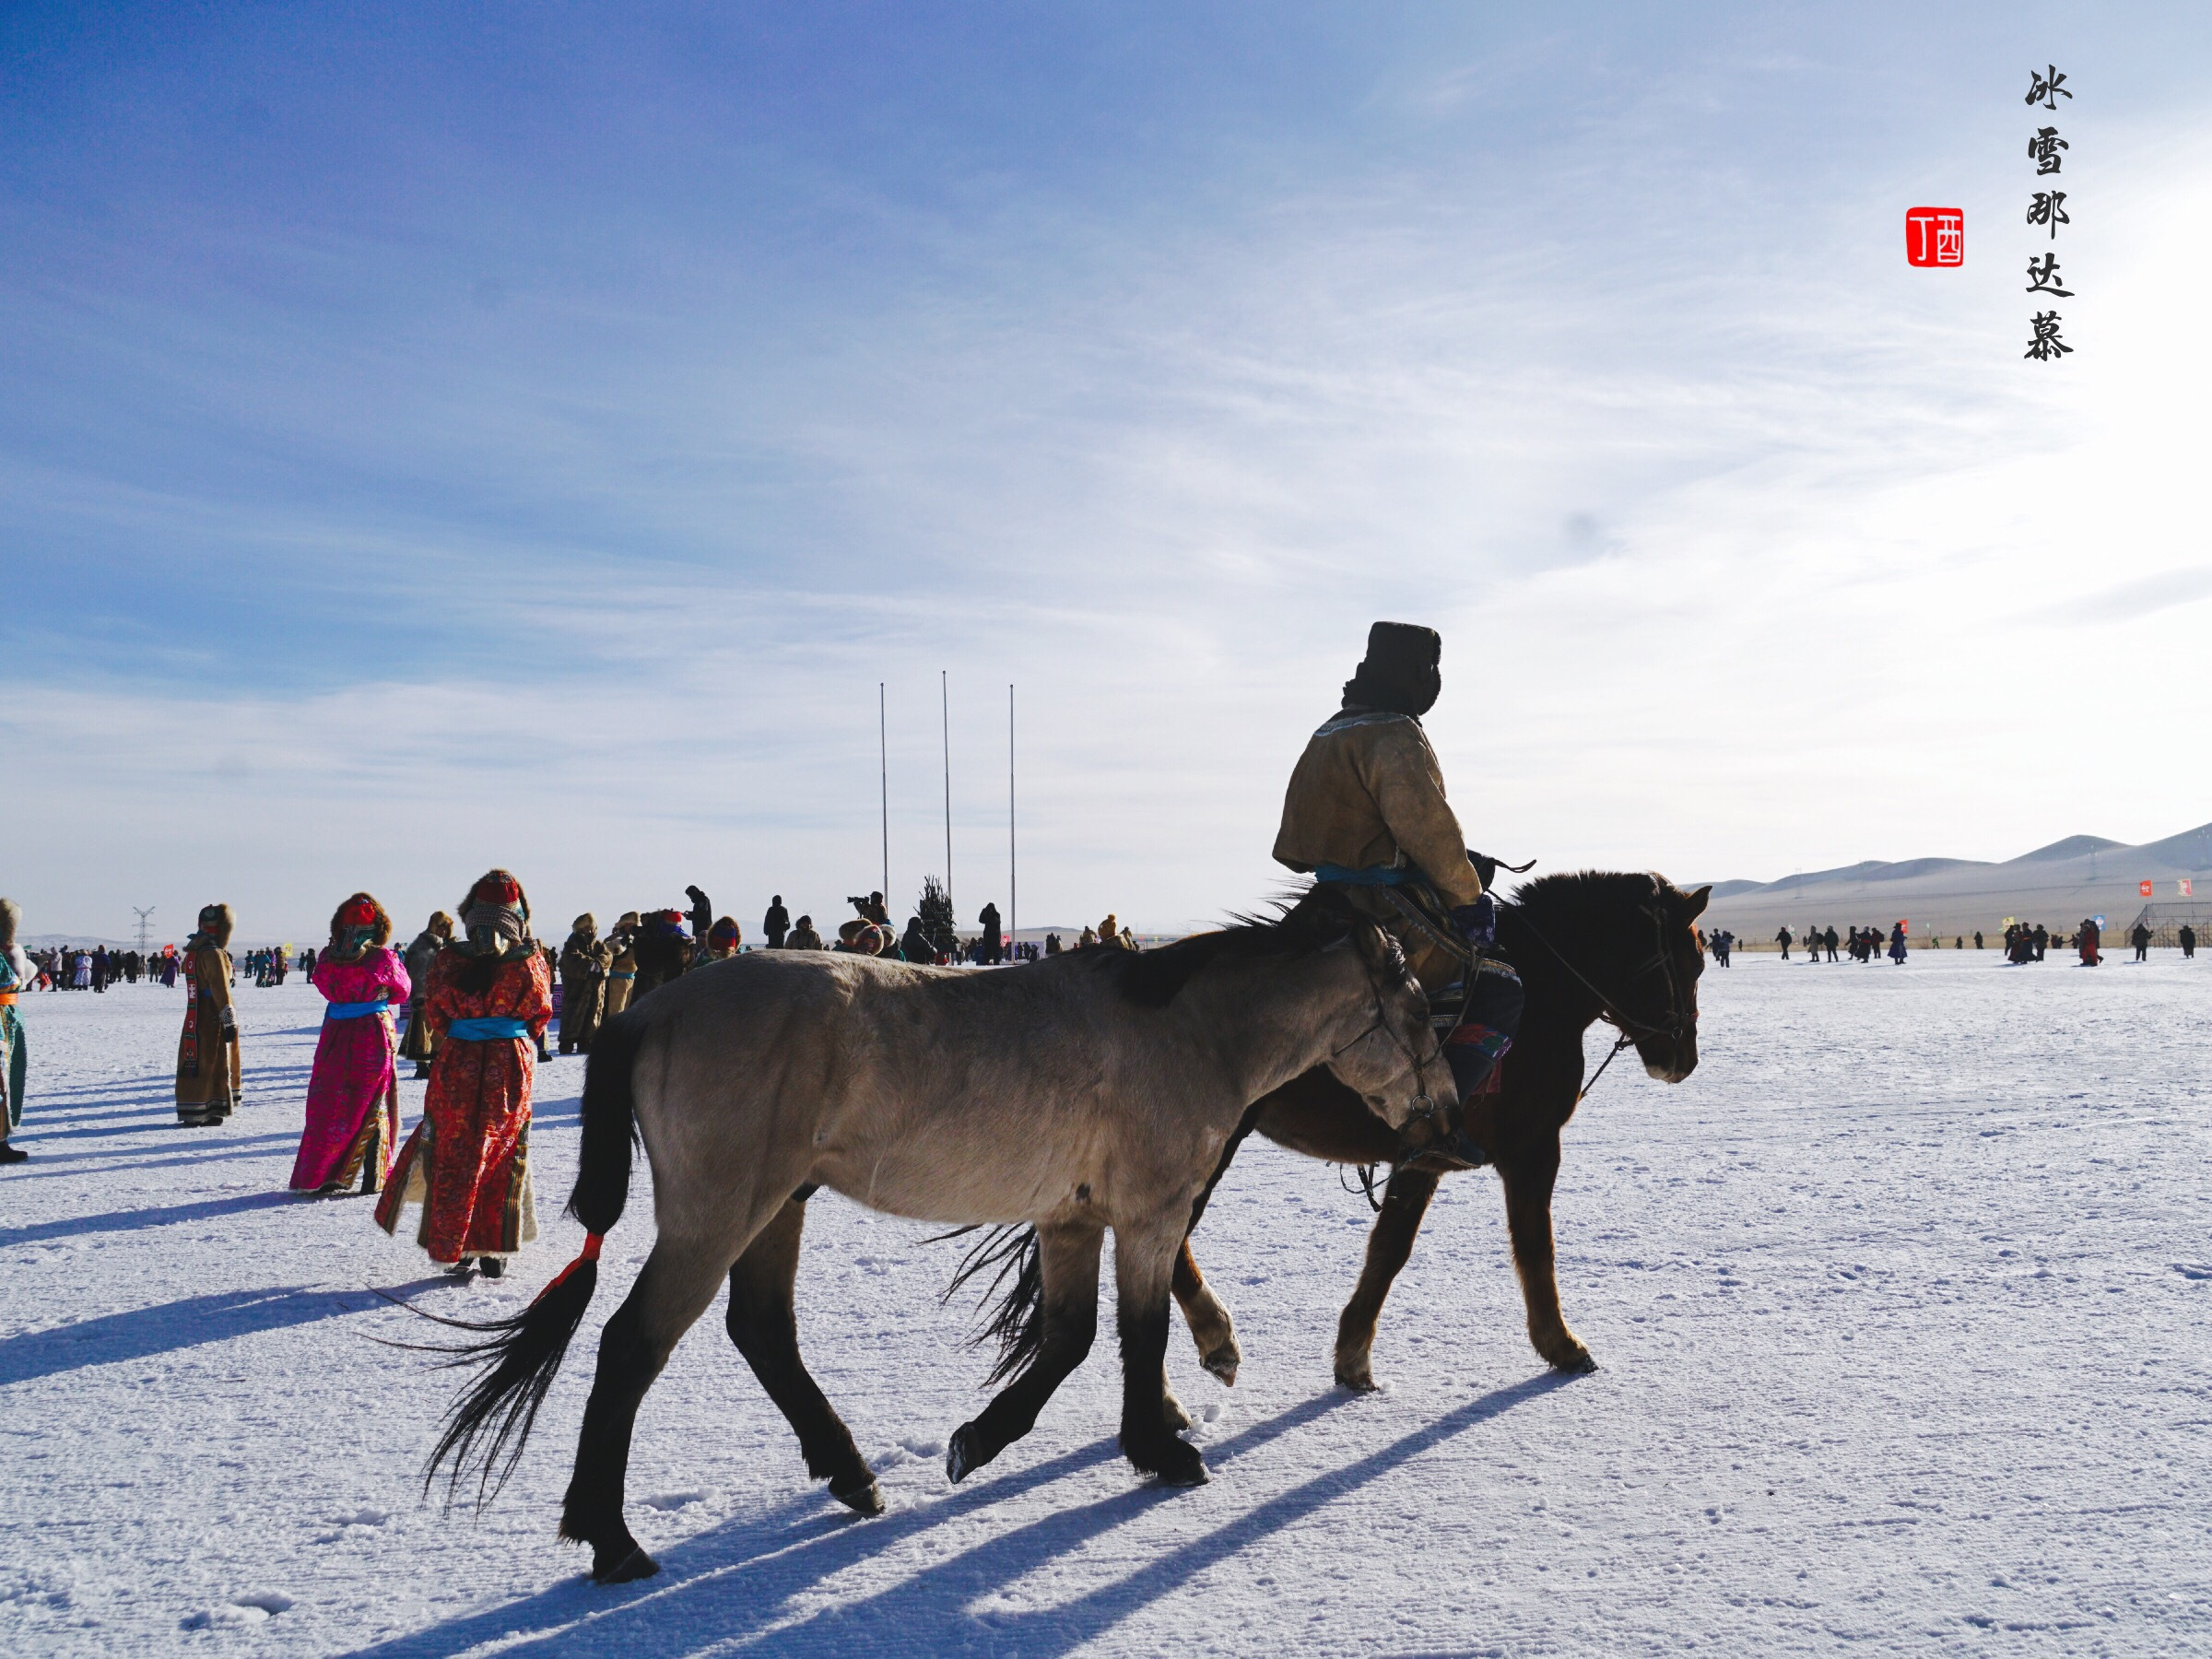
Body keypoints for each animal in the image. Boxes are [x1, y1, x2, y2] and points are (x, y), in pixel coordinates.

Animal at [422, 888, 1441, 1593]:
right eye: (1420, 1006)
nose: (1447, 1106)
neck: (1186, 1029)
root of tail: (650, 1009)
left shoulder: (1072, 1218)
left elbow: (1071, 1339)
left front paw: (981, 1441)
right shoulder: (1149, 1216)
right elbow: (1138, 1336)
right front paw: (1160, 1451)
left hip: (775, 1207)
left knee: (762, 1332)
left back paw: (851, 1476)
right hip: (720, 1212)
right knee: (633, 1345)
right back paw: (614, 1539)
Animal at [1176, 876, 1707, 1397]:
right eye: (1697, 962)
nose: (1684, 1059)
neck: (1545, 995)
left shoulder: (1422, 1158)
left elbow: (1389, 1250)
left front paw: (1353, 1359)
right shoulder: (1533, 1148)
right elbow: (1535, 1245)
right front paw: (1562, 1346)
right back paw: (1212, 1340)